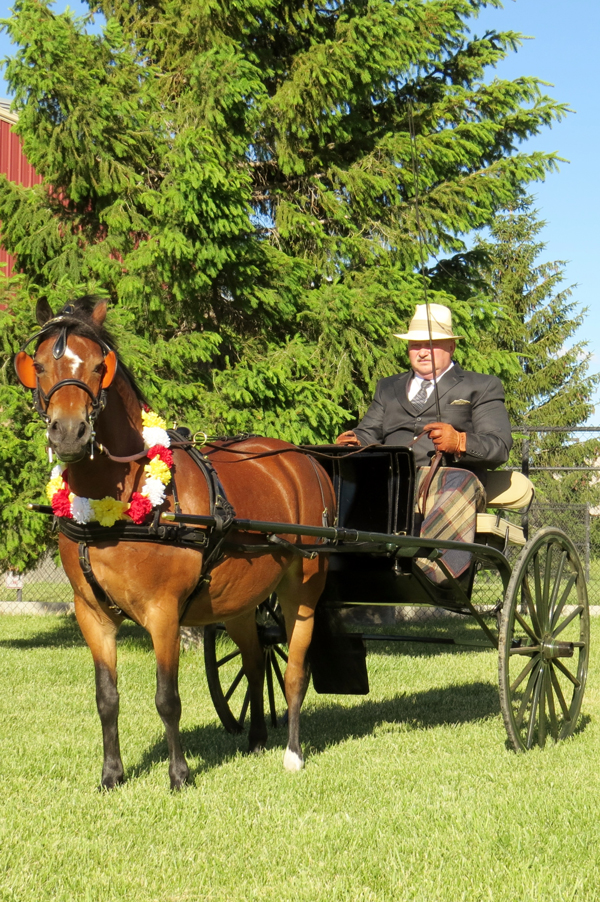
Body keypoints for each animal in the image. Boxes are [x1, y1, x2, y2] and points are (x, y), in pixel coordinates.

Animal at [15, 296, 335, 789]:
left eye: (98, 366)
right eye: (41, 366)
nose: (69, 433)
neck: (116, 506)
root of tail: (305, 460)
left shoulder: (163, 611)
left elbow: (167, 698)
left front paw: (180, 775)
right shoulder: (91, 614)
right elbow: (106, 697)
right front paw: (111, 775)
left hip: (302, 587)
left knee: (295, 672)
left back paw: (292, 753)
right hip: (239, 602)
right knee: (256, 660)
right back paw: (257, 738)